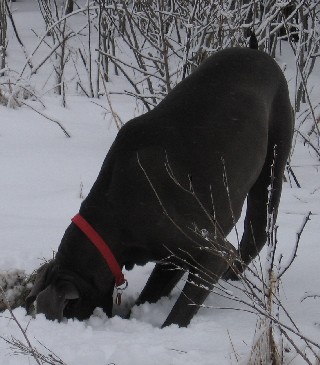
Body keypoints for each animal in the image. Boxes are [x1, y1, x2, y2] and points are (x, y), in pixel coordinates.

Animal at [26, 47, 294, 326]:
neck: (113, 215)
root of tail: (256, 51)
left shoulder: (213, 252)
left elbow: (181, 310)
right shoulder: (170, 258)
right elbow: (150, 293)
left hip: (273, 163)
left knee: (258, 229)